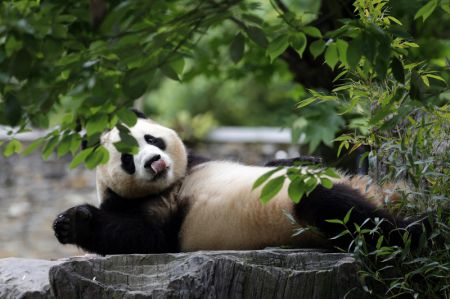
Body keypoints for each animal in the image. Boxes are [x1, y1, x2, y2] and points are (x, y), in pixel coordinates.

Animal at [53, 112, 426, 255]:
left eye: (151, 139)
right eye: (128, 160)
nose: (155, 161)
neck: (173, 183)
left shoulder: (197, 162)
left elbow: (272, 165)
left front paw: (306, 160)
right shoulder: (146, 207)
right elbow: (143, 237)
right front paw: (72, 222)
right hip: (301, 216)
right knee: (338, 209)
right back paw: (417, 229)